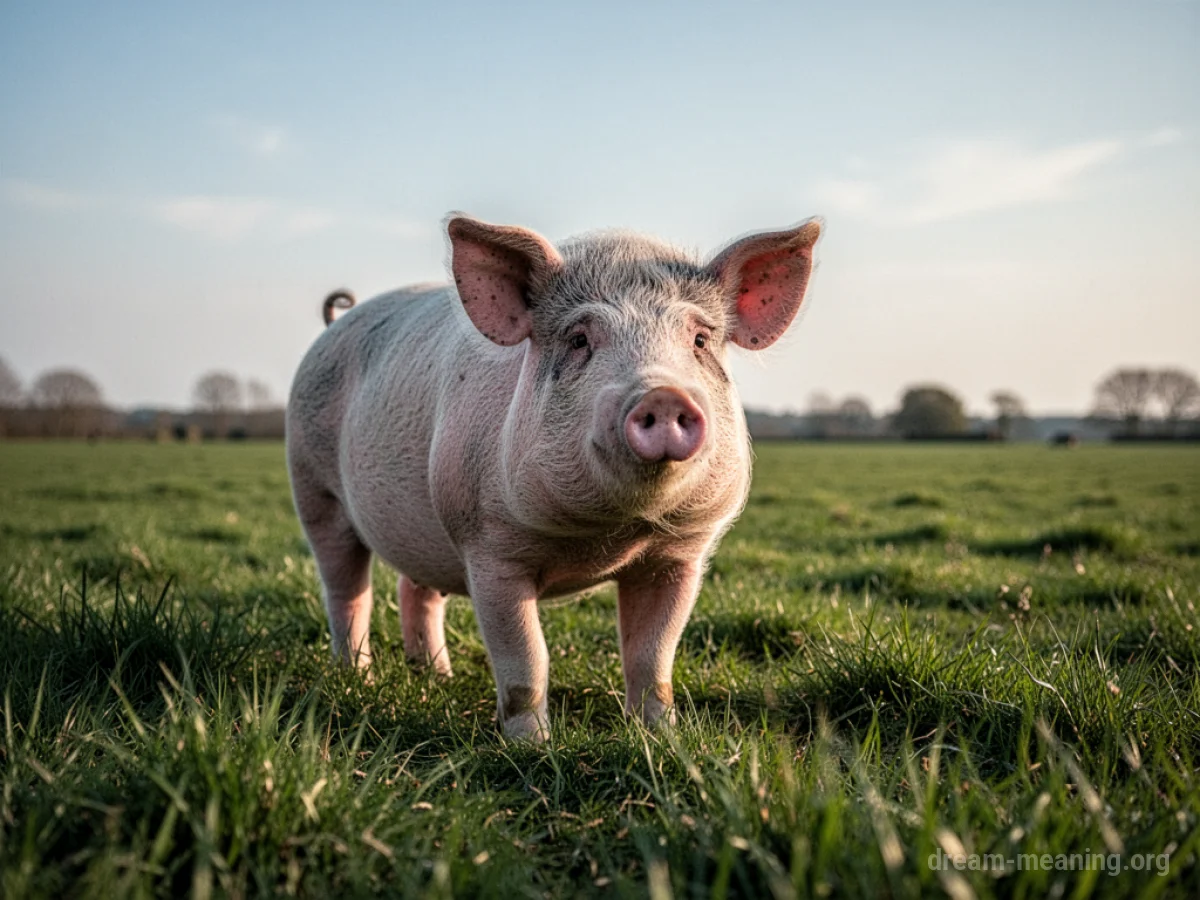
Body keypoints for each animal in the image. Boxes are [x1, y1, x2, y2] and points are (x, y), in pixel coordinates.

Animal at [286, 213, 821, 741]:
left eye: (700, 340)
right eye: (579, 339)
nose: (662, 394)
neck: (608, 534)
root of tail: (335, 323)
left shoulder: (680, 554)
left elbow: (653, 655)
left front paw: (661, 737)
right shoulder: (488, 546)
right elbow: (526, 656)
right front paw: (532, 746)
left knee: (415, 590)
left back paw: (439, 677)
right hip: (314, 489)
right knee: (347, 592)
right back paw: (357, 678)